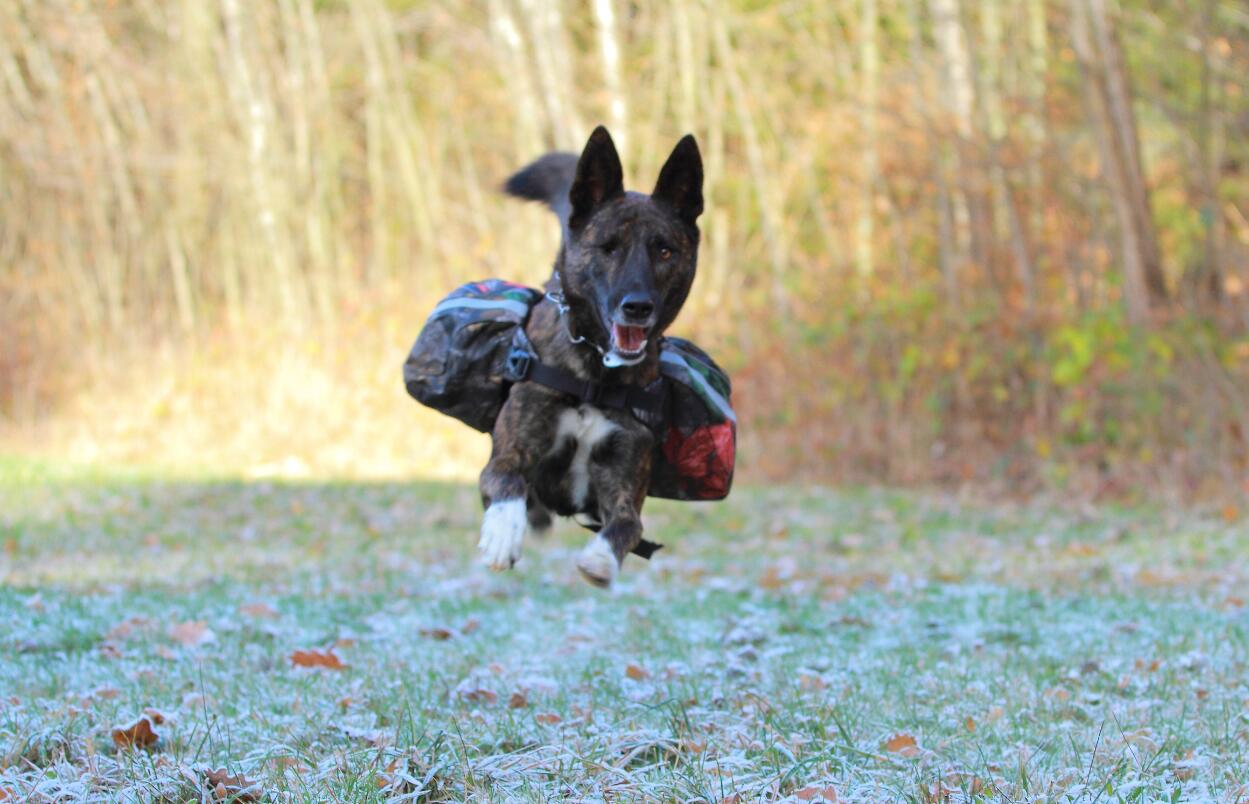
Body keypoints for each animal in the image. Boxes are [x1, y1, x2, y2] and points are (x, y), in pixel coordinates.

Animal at [477, 127, 704, 589]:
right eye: (608, 248)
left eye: (665, 251)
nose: (638, 307)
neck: (597, 374)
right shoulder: (509, 451)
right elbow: (505, 478)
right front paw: (502, 534)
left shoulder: (624, 475)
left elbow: (629, 525)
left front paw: (600, 559)